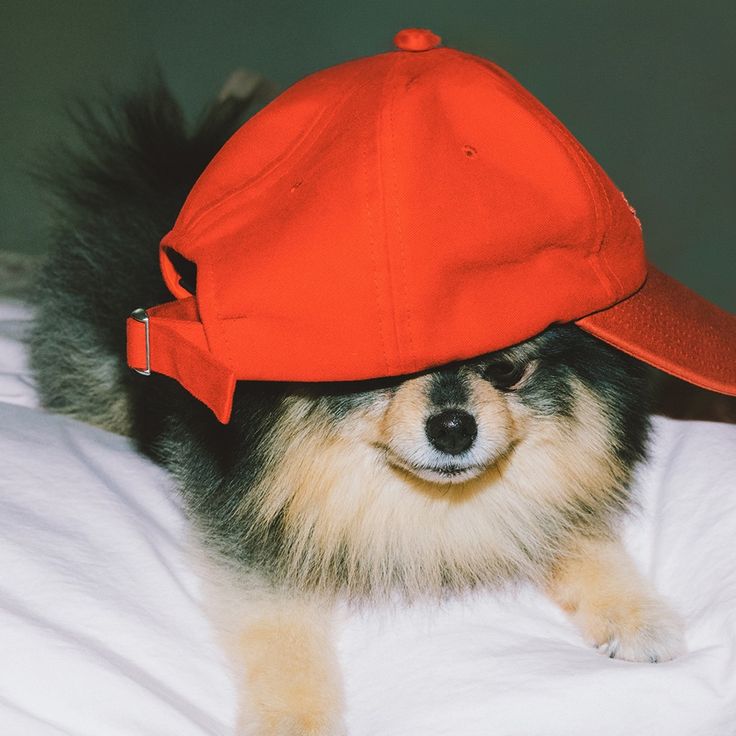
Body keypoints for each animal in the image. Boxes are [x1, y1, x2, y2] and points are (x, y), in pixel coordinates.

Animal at [28, 76, 684, 736]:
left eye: (505, 371)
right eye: (382, 375)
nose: (453, 427)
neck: (421, 504)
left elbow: (577, 531)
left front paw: (635, 613)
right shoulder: (250, 528)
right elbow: (282, 632)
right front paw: (294, 720)